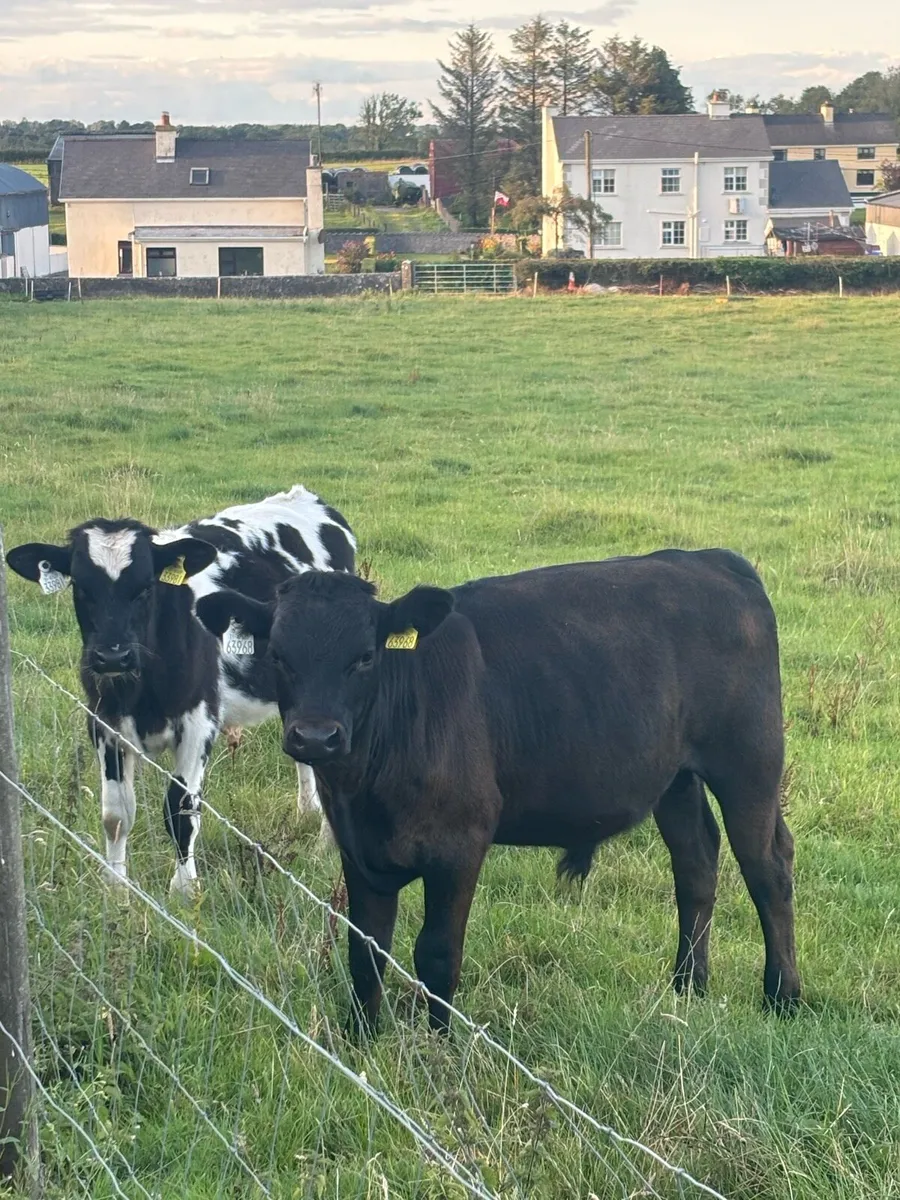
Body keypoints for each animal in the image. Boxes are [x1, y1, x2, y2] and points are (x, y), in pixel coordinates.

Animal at [6, 485, 355, 898]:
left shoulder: (199, 722)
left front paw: (185, 890)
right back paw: (308, 812)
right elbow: (115, 814)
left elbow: (181, 809)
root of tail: (306, 498)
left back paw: (326, 842)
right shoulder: (103, 721)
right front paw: (116, 886)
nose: (113, 655)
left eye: (145, 587)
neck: (140, 690)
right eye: (81, 587)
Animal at [195, 549, 800, 1032]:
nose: (316, 736)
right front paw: (360, 1041)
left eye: (365, 656)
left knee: (768, 868)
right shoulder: (358, 849)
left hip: (749, 764)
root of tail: (708, 560)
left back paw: (783, 997)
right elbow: (365, 951)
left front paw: (437, 1049)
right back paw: (687, 986)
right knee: (696, 863)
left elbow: (437, 954)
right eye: (277, 655)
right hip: (675, 778)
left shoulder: (460, 843)